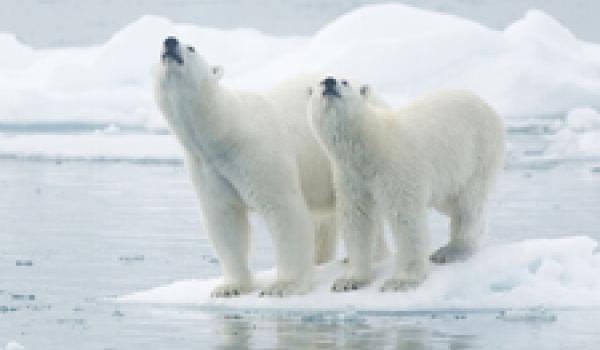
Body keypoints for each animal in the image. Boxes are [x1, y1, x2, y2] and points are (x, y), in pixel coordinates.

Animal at [152, 37, 344, 296]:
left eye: (191, 47)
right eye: (158, 49)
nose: (170, 41)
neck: (226, 131)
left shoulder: (257, 152)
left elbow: (283, 209)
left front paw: (283, 285)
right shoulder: (207, 166)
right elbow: (224, 218)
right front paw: (230, 287)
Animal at [308, 77, 504, 292]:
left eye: (345, 81)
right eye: (319, 83)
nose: (329, 81)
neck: (371, 145)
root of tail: (486, 104)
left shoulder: (396, 168)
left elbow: (405, 218)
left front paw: (400, 281)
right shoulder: (351, 177)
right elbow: (356, 218)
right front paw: (349, 280)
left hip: (478, 153)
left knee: (468, 203)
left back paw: (452, 251)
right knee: (450, 202)